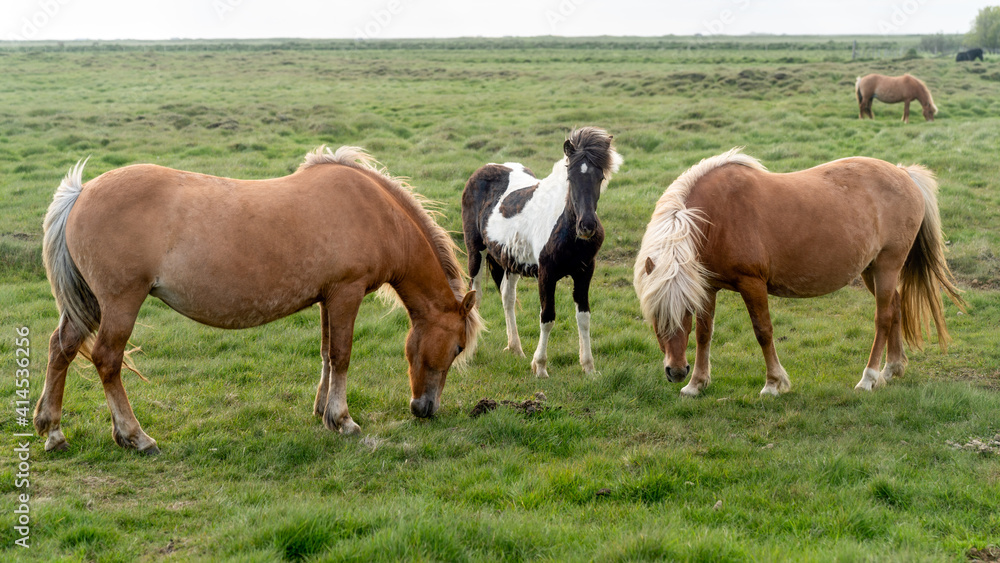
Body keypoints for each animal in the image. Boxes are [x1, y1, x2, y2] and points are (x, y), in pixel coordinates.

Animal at [34, 146, 483, 454]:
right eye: (458, 347)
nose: (425, 408)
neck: (375, 213)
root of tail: (80, 193)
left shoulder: (327, 297)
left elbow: (326, 354)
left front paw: (322, 412)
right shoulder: (346, 293)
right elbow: (342, 355)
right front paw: (343, 420)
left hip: (89, 305)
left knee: (62, 349)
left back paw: (53, 431)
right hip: (120, 303)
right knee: (107, 360)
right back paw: (135, 436)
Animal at [461, 127, 622, 377]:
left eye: (601, 178)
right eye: (570, 178)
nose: (587, 227)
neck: (566, 227)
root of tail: (485, 168)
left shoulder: (585, 272)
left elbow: (584, 317)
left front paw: (588, 367)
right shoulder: (546, 274)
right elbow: (547, 317)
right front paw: (540, 366)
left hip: (511, 261)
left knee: (507, 296)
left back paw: (515, 348)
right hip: (475, 252)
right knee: (475, 296)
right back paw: (473, 350)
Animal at [633, 148, 965, 397]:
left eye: (680, 315)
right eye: (655, 318)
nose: (676, 372)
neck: (715, 218)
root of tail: (904, 173)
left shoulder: (752, 284)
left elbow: (763, 331)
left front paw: (773, 384)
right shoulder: (707, 287)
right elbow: (705, 334)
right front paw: (696, 384)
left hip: (887, 265)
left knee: (883, 317)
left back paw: (869, 378)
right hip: (872, 270)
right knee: (894, 307)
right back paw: (892, 369)